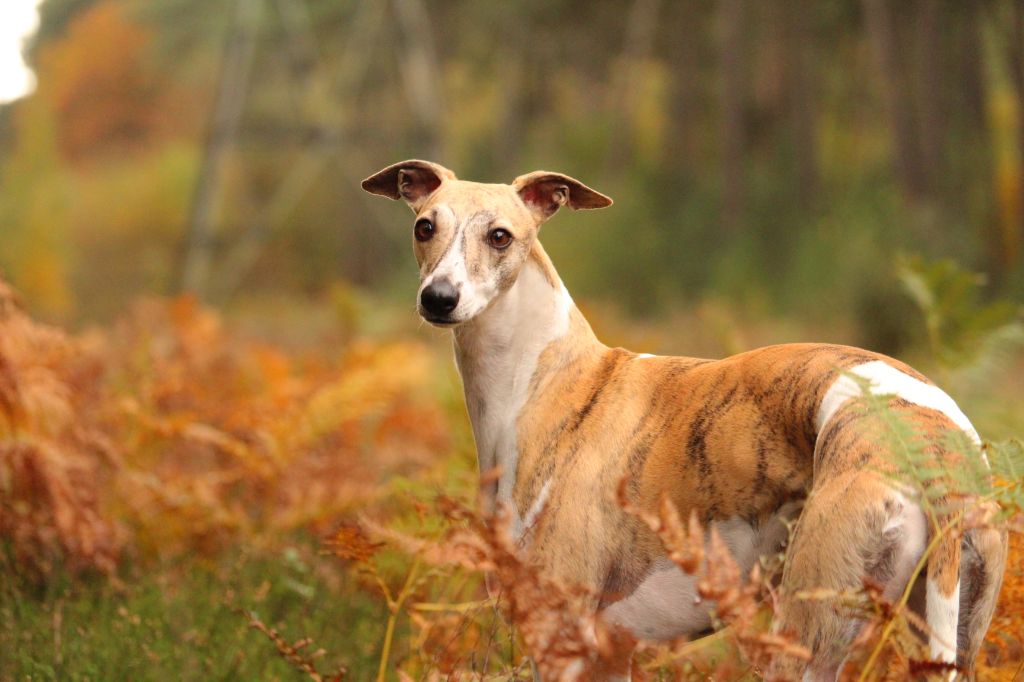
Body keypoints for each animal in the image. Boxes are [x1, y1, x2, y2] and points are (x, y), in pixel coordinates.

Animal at [362, 160, 1007, 679]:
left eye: (500, 236)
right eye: (424, 226)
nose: (439, 299)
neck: (542, 378)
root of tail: (932, 451)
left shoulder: (561, 641)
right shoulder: (611, 653)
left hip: (807, 634)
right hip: (952, 632)